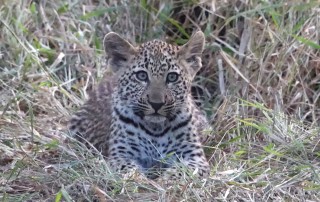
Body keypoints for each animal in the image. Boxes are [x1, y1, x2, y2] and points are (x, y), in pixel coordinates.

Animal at [68, 30, 210, 179]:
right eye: (142, 76)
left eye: (172, 77)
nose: (156, 104)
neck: (155, 130)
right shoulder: (120, 155)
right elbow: (130, 170)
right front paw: (141, 179)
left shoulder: (194, 156)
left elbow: (183, 170)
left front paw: (165, 180)